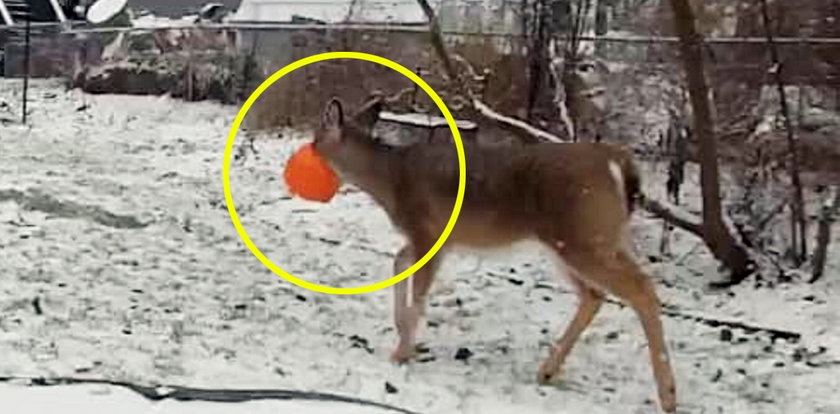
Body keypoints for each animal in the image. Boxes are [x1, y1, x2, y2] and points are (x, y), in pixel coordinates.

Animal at [312, 92, 680, 412]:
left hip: (585, 236)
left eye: (316, 139)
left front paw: (402, 352)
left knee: (641, 290)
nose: (309, 150)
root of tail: (618, 162)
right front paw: (401, 333)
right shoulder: (427, 239)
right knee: (594, 294)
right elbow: (398, 262)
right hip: (579, 240)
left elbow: (418, 294)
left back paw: (668, 396)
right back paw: (547, 370)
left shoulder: (428, 231)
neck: (391, 180)